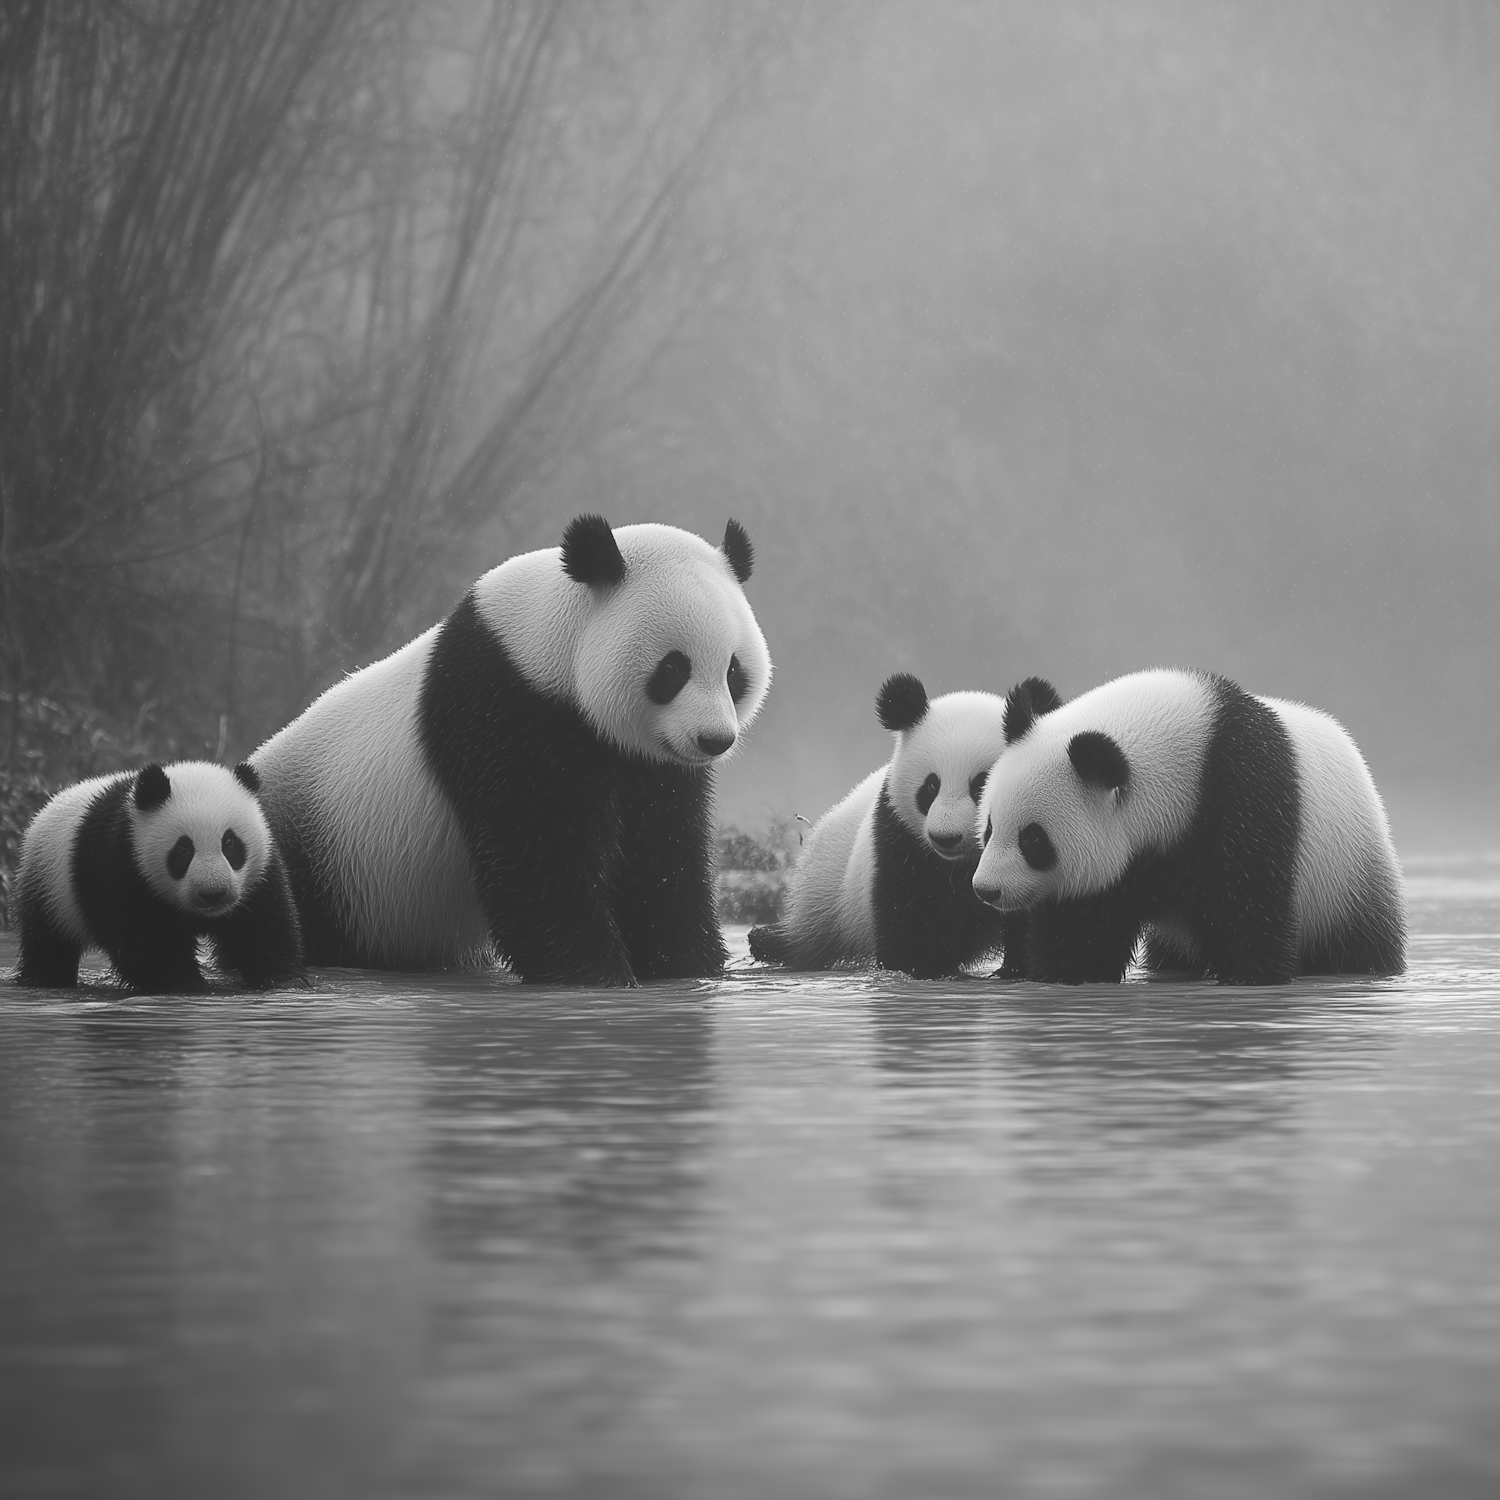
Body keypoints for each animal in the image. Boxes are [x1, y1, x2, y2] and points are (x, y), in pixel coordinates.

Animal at [13, 760, 304, 993]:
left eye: (230, 843)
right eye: (183, 849)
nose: (213, 893)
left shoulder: (258, 873)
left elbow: (263, 922)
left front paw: (282, 980)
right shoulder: (123, 860)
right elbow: (142, 936)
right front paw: (183, 983)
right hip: (48, 884)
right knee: (48, 942)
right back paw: (46, 979)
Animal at [252, 514, 771, 986]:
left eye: (733, 671)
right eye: (673, 669)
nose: (713, 740)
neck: (550, 643)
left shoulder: (649, 766)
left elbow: (662, 859)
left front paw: (688, 966)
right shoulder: (504, 713)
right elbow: (537, 861)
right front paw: (596, 975)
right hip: (320, 858)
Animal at [748, 673, 1023, 979]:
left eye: (981, 786)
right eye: (930, 786)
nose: (946, 838)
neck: (962, 864)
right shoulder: (900, 835)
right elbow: (911, 917)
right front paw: (919, 969)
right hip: (831, 887)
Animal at [970, 669, 1406, 985]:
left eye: (1033, 839)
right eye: (989, 828)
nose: (986, 890)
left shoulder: (1244, 799)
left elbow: (1250, 905)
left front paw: (1247, 976)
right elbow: (1084, 923)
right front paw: (1063, 971)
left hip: (1345, 880)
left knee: (1362, 943)